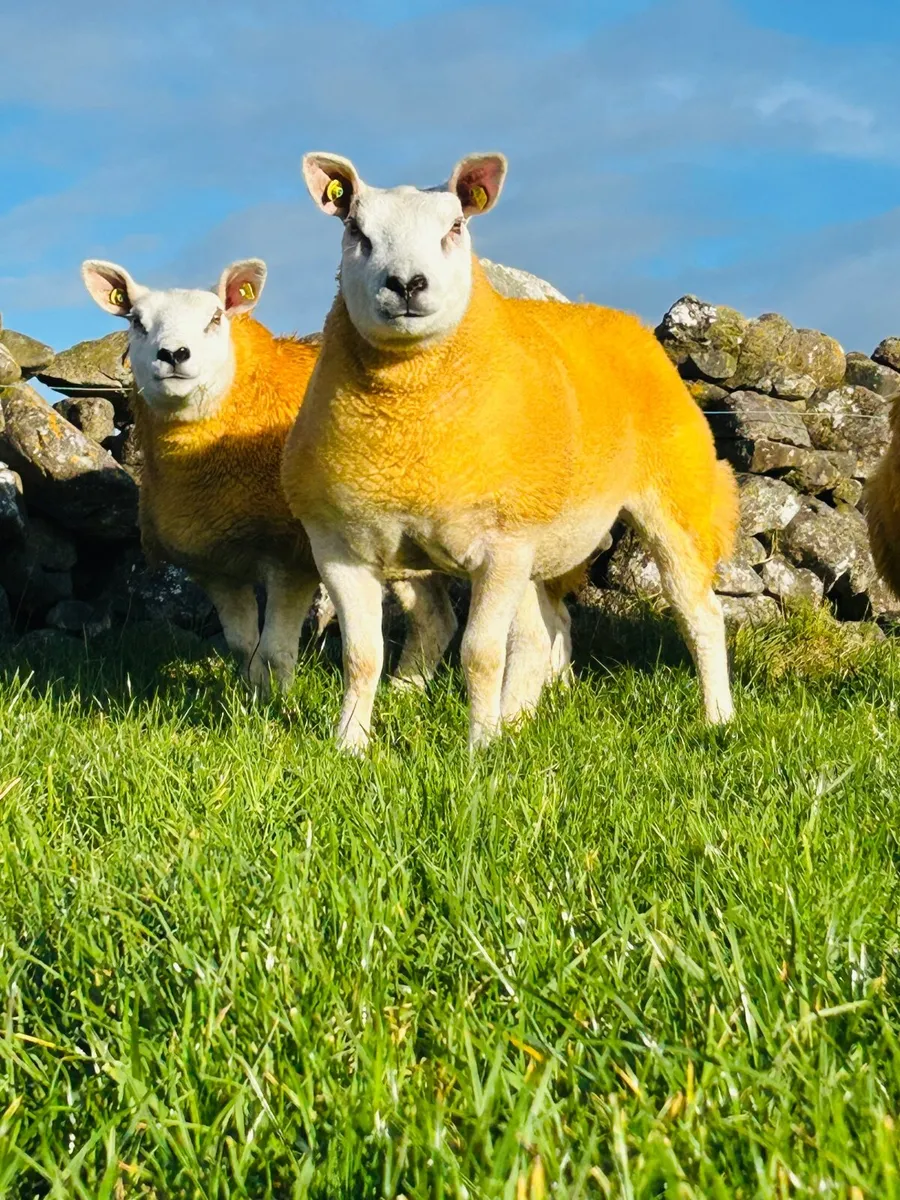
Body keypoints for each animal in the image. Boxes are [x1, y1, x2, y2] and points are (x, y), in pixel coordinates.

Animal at [81, 258, 458, 695]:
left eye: (215, 318)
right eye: (137, 321)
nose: (173, 354)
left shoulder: (291, 556)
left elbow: (275, 650)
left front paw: (281, 702)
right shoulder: (216, 563)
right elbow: (243, 646)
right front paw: (251, 698)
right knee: (435, 617)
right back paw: (403, 690)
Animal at [281, 152, 739, 752]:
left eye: (455, 227)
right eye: (356, 231)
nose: (406, 284)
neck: (409, 429)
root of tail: (620, 319)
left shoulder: (501, 546)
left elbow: (480, 654)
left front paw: (479, 748)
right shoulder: (339, 546)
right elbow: (362, 657)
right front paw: (349, 747)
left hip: (674, 496)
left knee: (699, 614)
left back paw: (718, 720)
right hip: (537, 534)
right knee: (540, 632)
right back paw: (523, 719)